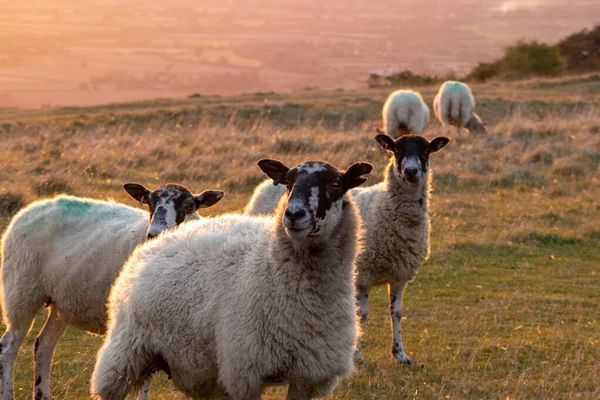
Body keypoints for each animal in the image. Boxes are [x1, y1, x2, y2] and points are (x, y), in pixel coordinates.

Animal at [0, 184, 224, 400]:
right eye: (149, 203)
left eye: (189, 206)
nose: (155, 233)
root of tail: (34, 207)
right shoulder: (141, 327)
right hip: (21, 291)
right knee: (8, 348)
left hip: (60, 302)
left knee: (43, 345)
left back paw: (42, 395)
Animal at [241, 134, 448, 366]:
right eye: (396, 150)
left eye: (426, 150)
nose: (411, 171)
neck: (388, 208)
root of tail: (267, 183)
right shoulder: (362, 276)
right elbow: (361, 315)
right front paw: (357, 356)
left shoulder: (399, 276)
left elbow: (396, 313)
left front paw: (400, 354)